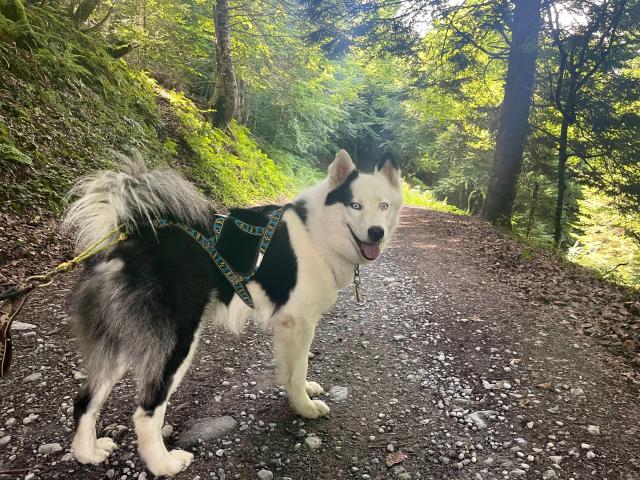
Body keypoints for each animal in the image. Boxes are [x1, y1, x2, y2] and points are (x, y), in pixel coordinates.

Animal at [62, 150, 402, 476]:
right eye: (355, 205)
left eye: (384, 205)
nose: (376, 232)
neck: (317, 230)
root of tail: (135, 236)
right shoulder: (300, 322)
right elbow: (299, 368)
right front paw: (304, 407)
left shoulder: (287, 325)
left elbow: (291, 368)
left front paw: (301, 392)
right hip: (175, 343)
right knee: (146, 411)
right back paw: (165, 465)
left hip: (123, 341)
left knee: (84, 400)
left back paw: (88, 452)